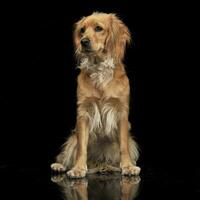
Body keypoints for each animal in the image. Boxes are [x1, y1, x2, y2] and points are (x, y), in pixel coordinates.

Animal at [50, 12, 141, 178]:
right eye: (82, 30)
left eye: (98, 28)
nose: (83, 41)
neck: (99, 68)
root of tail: (100, 163)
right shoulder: (83, 113)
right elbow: (81, 147)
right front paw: (78, 168)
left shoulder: (121, 112)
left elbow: (123, 145)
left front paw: (128, 166)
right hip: (72, 139)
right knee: (67, 154)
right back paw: (60, 165)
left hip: (132, 143)